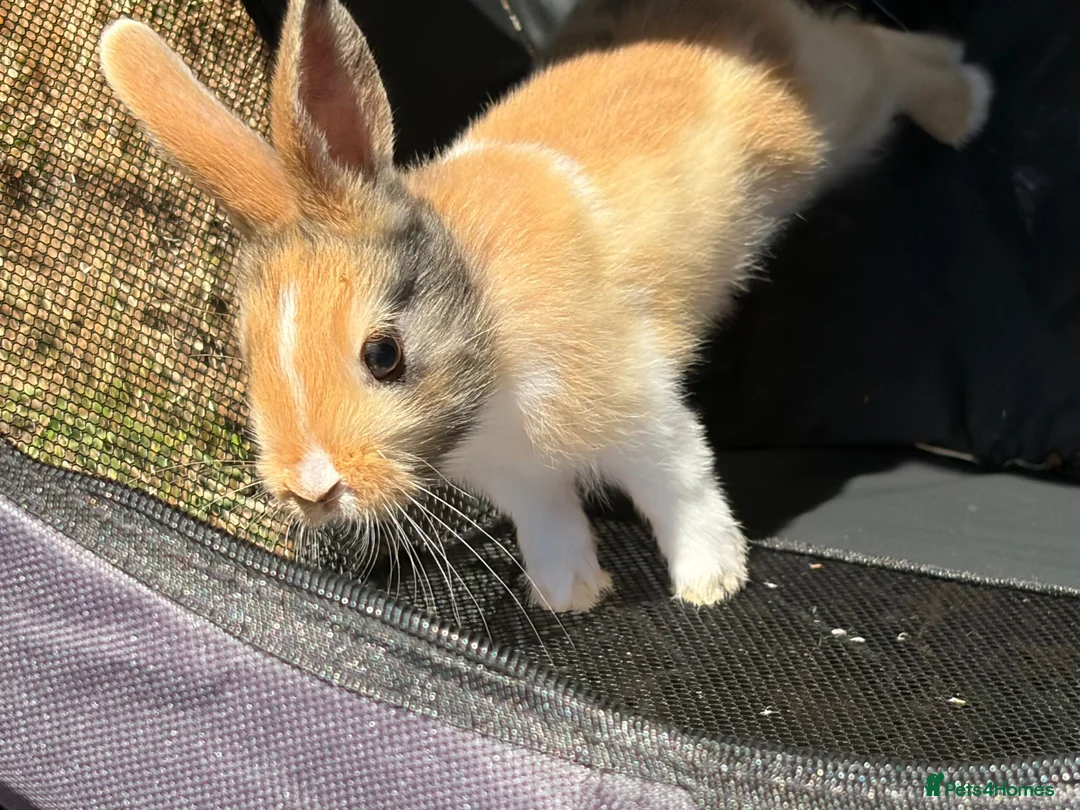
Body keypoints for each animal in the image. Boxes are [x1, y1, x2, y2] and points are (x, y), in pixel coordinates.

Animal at [98, 0, 993, 613]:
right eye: (245, 352)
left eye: (383, 354)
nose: (312, 490)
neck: (485, 316)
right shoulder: (519, 480)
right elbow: (551, 517)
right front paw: (570, 595)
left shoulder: (640, 411)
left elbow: (681, 487)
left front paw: (711, 582)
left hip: (838, 109)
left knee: (893, 55)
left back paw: (968, 106)